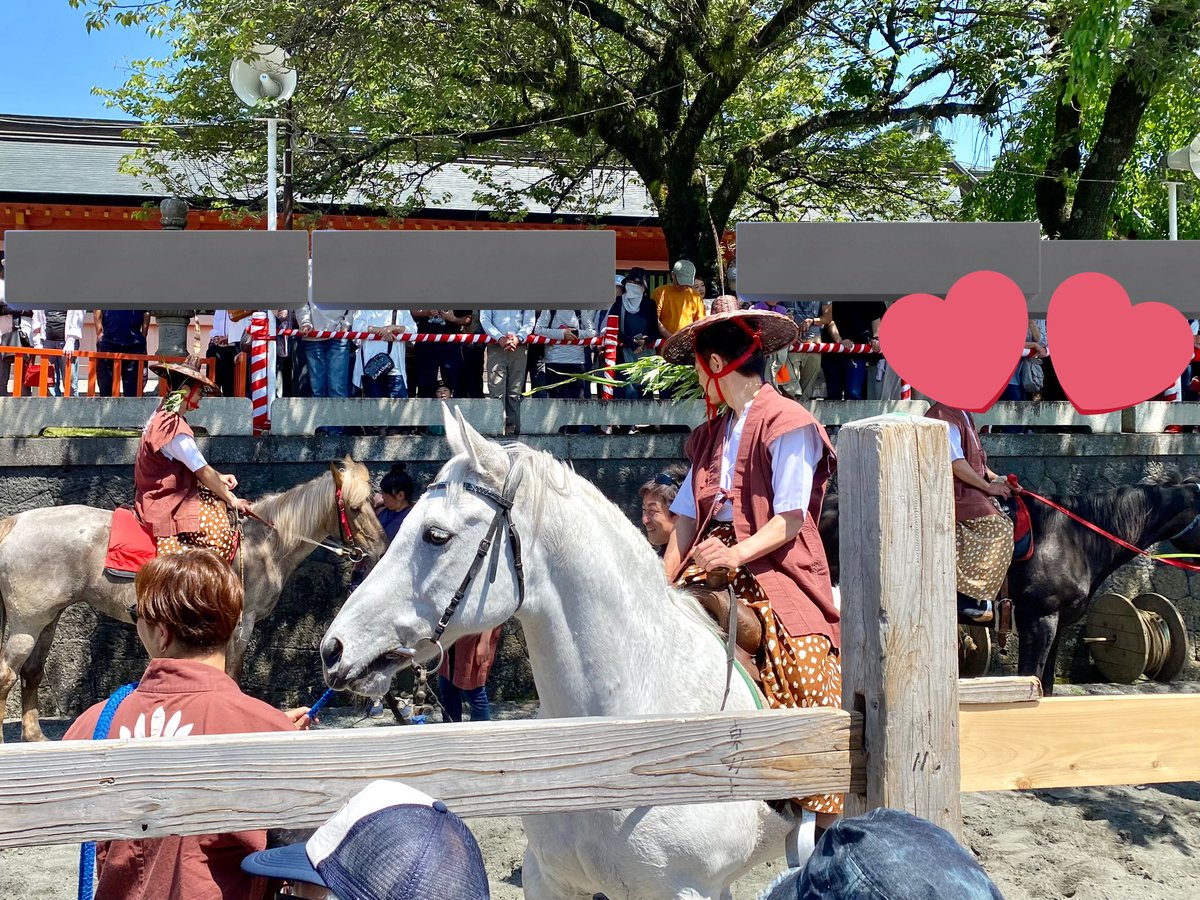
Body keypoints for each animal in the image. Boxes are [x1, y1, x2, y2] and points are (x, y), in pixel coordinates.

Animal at [0, 453, 384, 744]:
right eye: (354, 507)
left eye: (373, 501)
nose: (379, 548)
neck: (263, 544)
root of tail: (16, 523)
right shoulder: (241, 625)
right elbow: (232, 674)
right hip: (26, 623)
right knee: (7, 674)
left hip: (48, 618)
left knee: (31, 672)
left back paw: (34, 736)